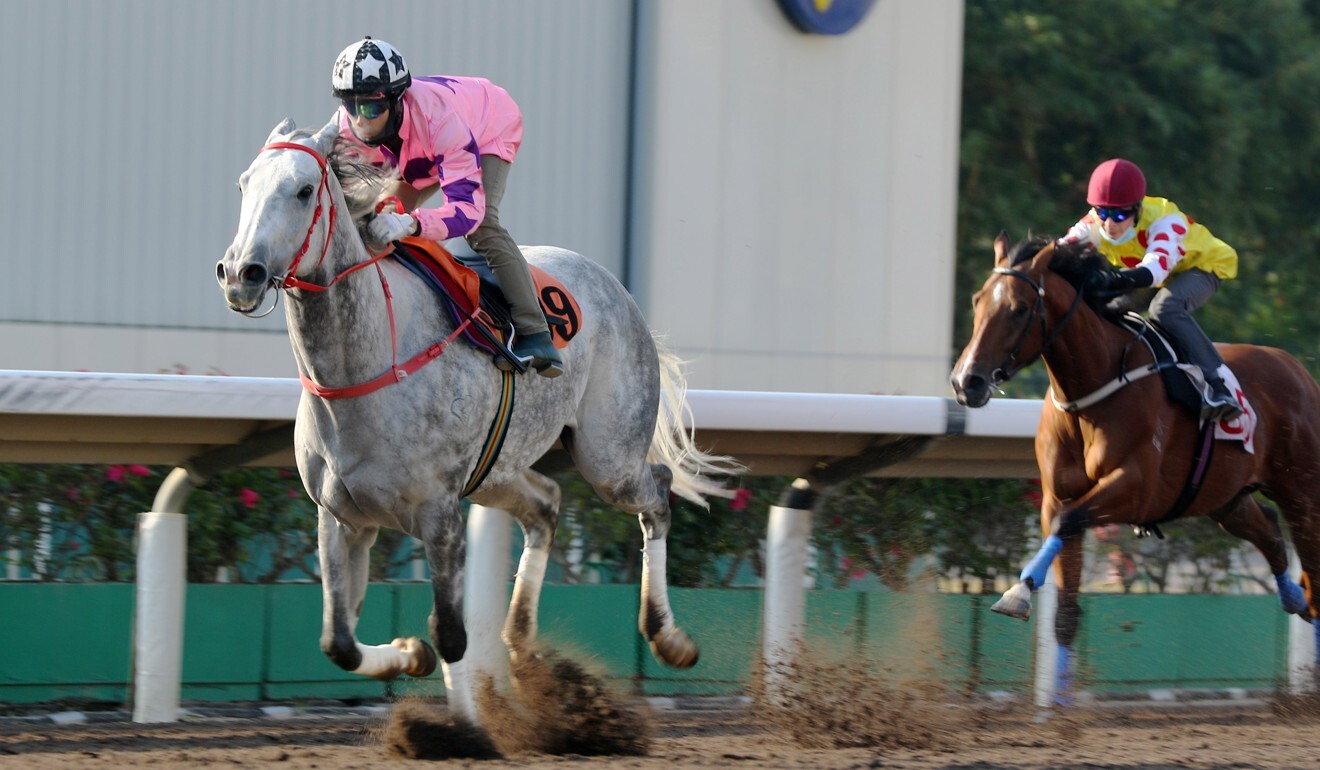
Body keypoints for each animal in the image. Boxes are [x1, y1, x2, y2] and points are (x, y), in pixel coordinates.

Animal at [215, 118, 733, 723]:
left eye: (302, 191)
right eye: (243, 184)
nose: (240, 274)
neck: (367, 364)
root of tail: (616, 287)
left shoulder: (439, 513)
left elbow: (451, 633)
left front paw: (465, 725)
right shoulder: (341, 516)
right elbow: (338, 642)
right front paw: (408, 654)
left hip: (609, 456)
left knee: (657, 492)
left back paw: (668, 637)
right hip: (496, 471)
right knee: (546, 506)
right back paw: (522, 648)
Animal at [955, 232, 1314, 702]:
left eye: (1017, 308)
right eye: (977, 301)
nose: (967, 382)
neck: (1095, 387)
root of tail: (1298, 369)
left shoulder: (1135, 488)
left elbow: (1069, 522)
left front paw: (1017, 591)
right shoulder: (1056, 497)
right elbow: (1065, 604)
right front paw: (1058, 709)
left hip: (1303, 491)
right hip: (1222, 497)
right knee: (1271, 534)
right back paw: (1293, 599)